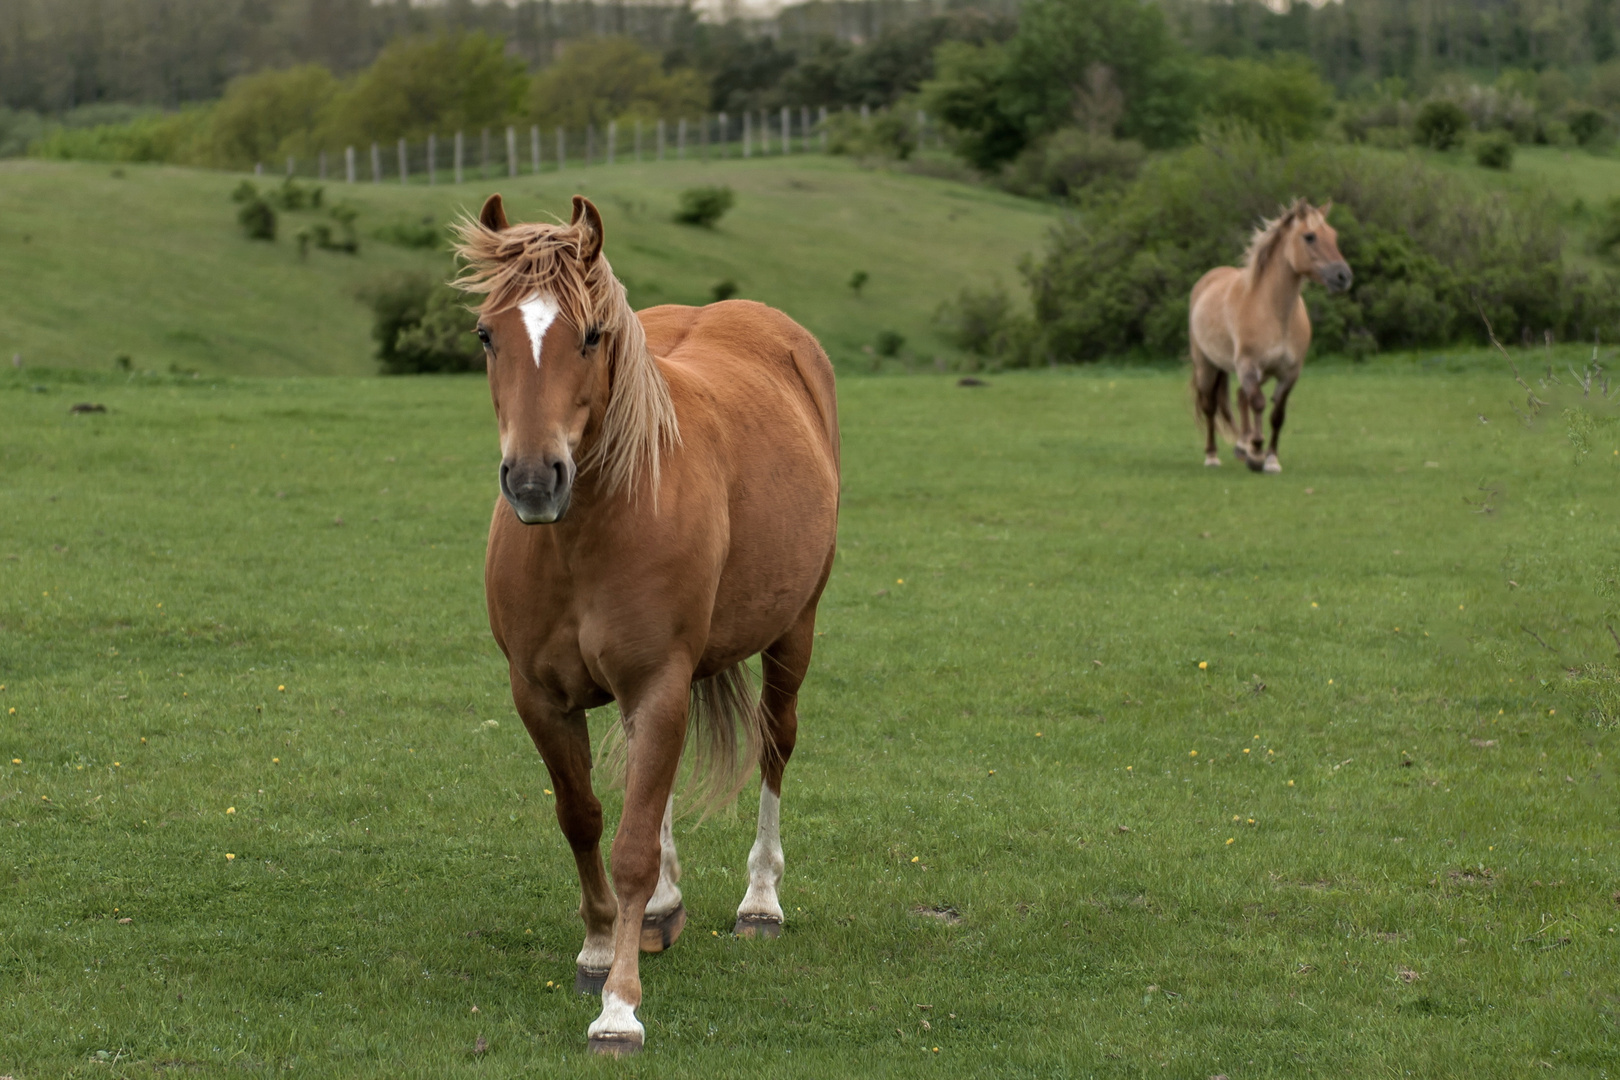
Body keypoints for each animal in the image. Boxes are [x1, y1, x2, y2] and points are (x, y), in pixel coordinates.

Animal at [453, 194, 842, 1055]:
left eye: (592, 333)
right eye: (488, 334)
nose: (534, 480)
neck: (585, 536)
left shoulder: (659, 683)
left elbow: (628, 845)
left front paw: (619, 1007)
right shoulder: (540, 696)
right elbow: (584, 819)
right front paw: (602, 945)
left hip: (792, 632)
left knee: (775, 744)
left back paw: (760, 902)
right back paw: (662, 910)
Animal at [1192, 198, 1354, 472]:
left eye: (1333, 235)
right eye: (1310, 236)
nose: (1343, 276)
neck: (1273, 312)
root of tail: (1207, 280)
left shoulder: (1289, 372)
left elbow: (1277, 414)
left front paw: (1270, 458)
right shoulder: (1248, 366)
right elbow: (1258, 403)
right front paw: (1257, 452)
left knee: (1240, 396)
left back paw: (1241, 447)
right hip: (1207, 365)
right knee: (1210, 406)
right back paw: (1213, 455)